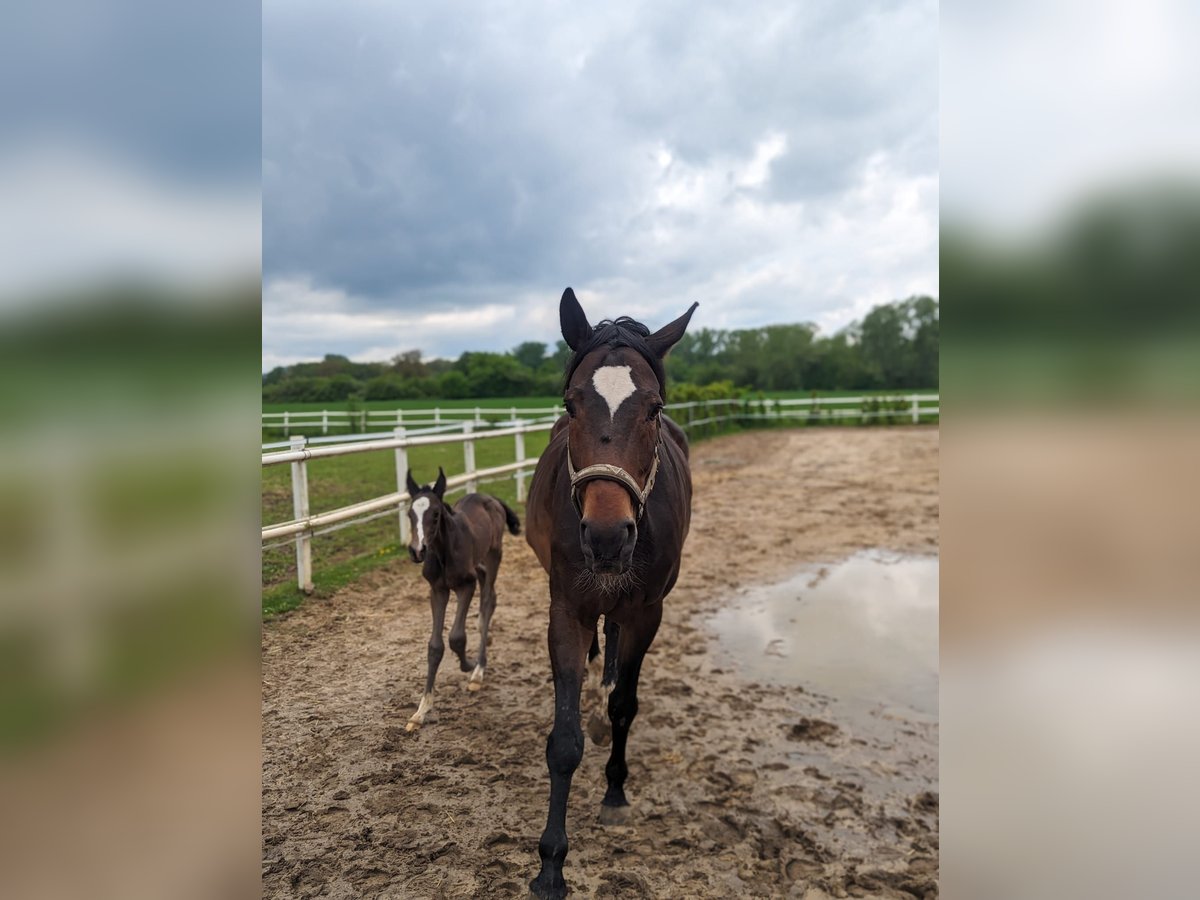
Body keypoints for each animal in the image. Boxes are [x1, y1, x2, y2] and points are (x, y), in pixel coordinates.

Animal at [403, 468, 520, 734]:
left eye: (435, 514)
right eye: (409, 514)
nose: (417, 551)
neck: (443, 551)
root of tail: (490, 498)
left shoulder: (466, 586)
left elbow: (457, 637)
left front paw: (469, 664)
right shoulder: (437, 590)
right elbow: (435, 646)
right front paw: (420, 711)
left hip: (494, 555)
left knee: (488, 602)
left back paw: (479, 670)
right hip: (480, 565)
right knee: (490, 596)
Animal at [530, 286, 700, 897]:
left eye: (653, 408)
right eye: (570, 404)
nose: (606, 535)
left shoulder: (647, 612)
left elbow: (625, 706)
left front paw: (615, 793)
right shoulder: (567, 612)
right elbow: (563, 741)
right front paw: (550, 865)